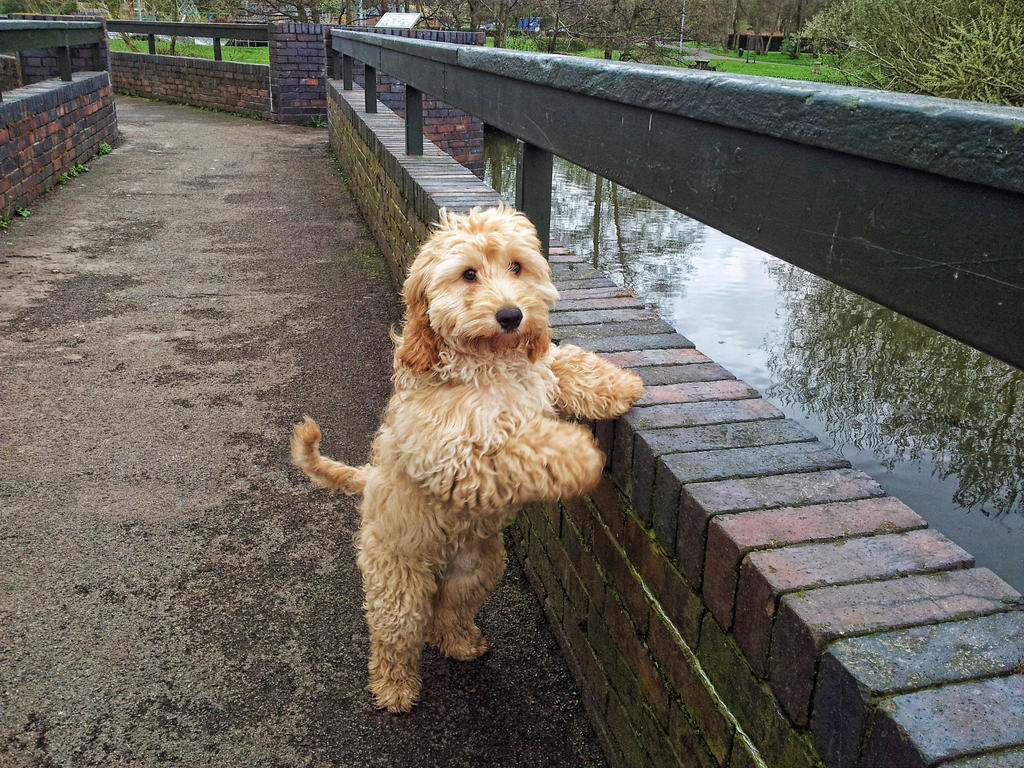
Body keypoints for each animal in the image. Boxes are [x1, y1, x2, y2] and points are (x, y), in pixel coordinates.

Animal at [292, 205, 638, 716]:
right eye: (468, 274)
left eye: (517, 267)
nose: (512, 315)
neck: (490, 363)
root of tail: (369, 482)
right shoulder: (452, 454)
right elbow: (519, 445)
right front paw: (578, 454)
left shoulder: (537, 370)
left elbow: (563, 361)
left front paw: (621, 385)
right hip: (398, 580)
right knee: (394, 634)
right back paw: (394, 688)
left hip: (477, 570)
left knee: (447, 611)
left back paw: (460, 643)